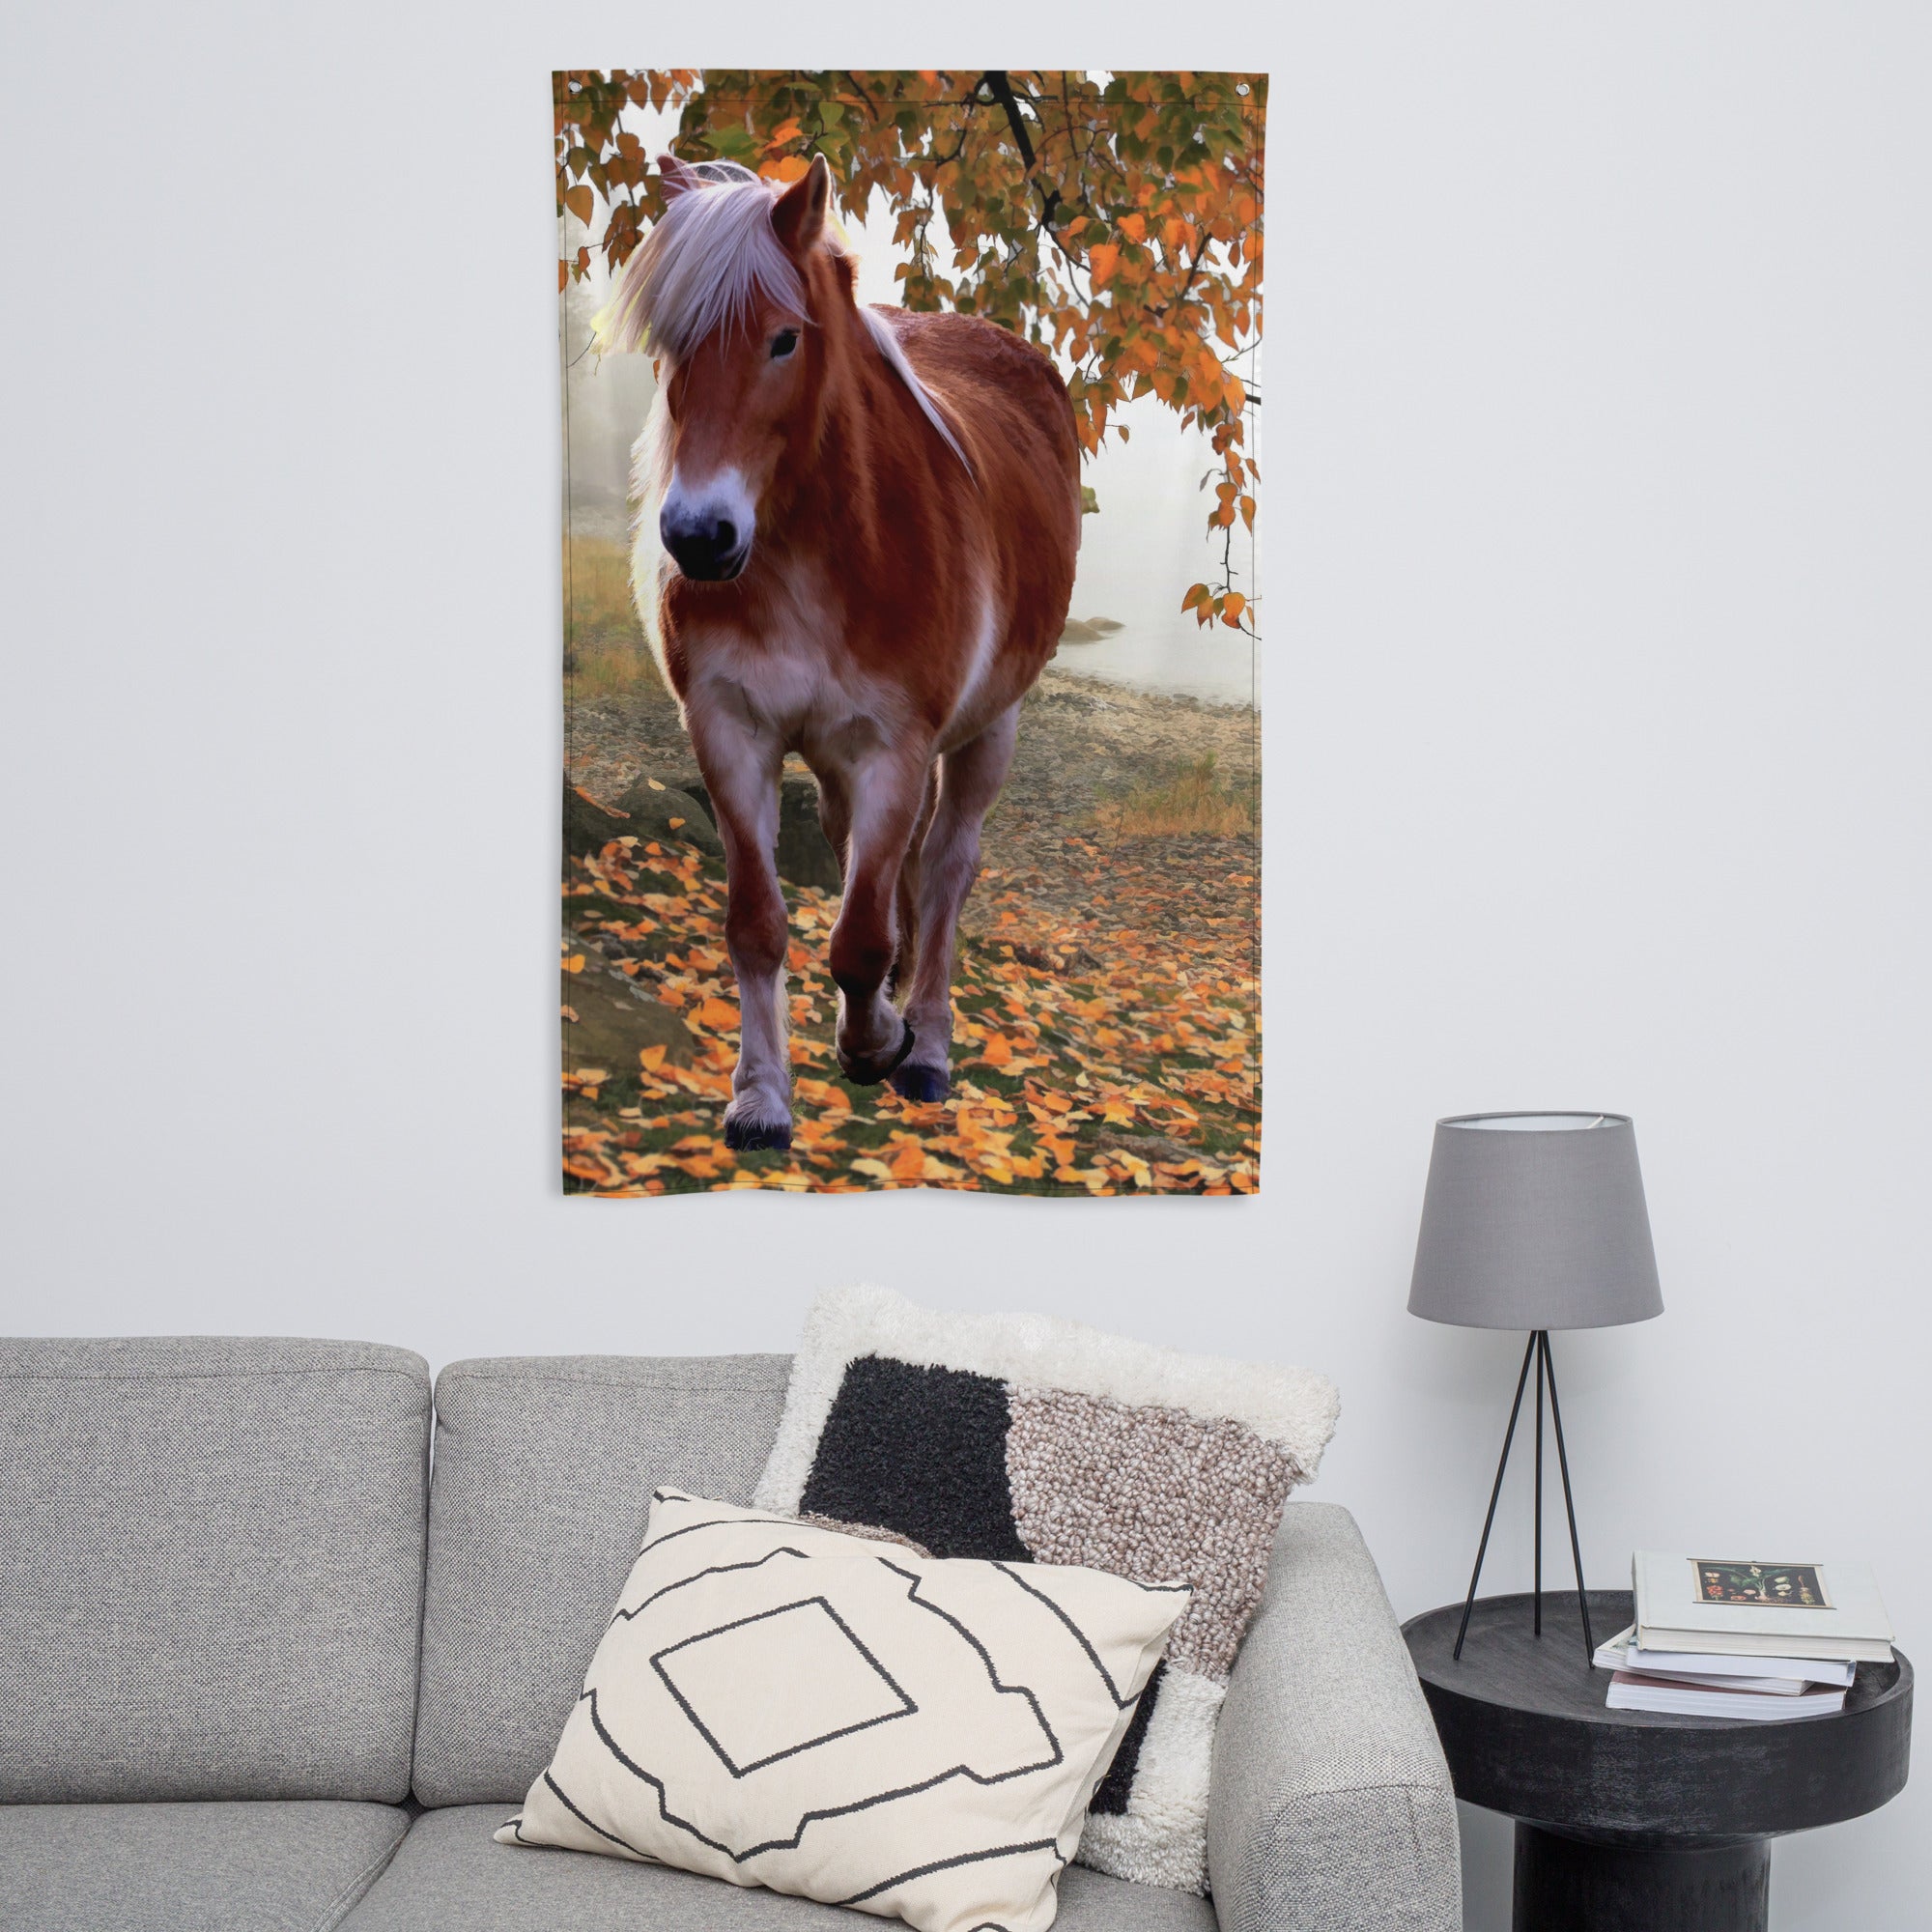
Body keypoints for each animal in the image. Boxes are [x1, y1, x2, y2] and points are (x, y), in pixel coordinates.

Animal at [605, 152, 1081, 1151]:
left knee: (945, 872)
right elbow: (759, 923)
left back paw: (926, 1046)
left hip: (992, 728)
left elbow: (863, 938)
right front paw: (760, 1097)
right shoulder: (730, 732)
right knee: (865, 850)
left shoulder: (894, 748)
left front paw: (876, 1044)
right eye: (669, 344)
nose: (698, 537)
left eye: (783, 341)